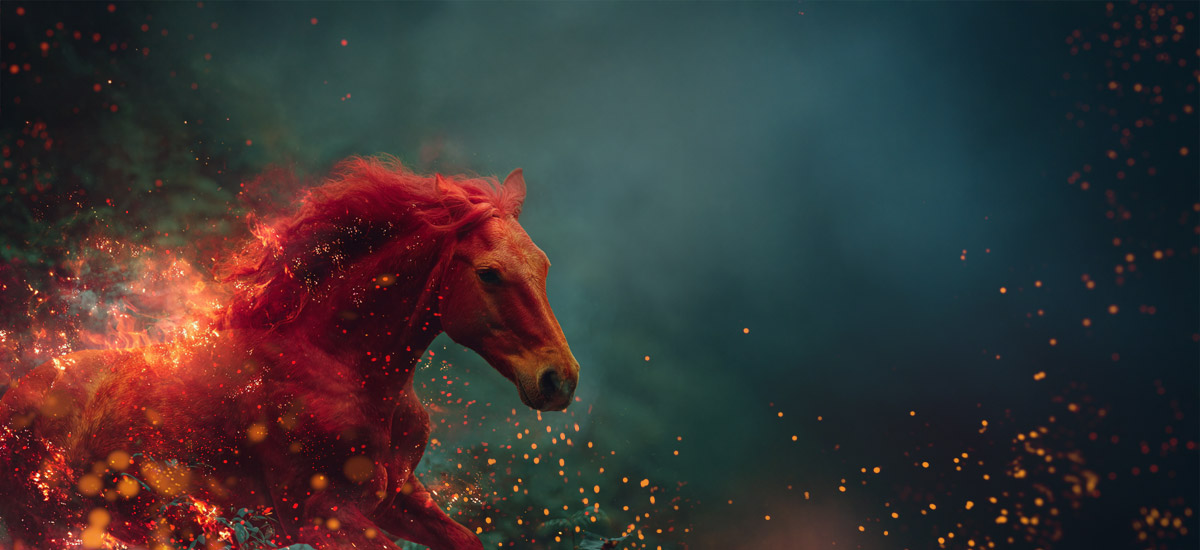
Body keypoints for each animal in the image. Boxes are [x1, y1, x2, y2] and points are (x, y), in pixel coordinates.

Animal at [0, 156, 581, 550]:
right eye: (489, 273)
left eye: (544, 264)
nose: (560, 379)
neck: (343, 369)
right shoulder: (318, 514)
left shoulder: (398, 496)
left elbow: (465, 539)